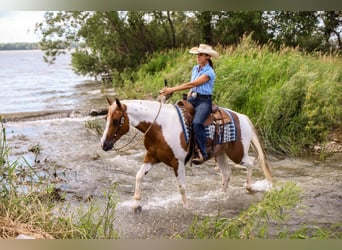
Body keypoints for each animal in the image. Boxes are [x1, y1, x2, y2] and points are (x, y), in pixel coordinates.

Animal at [100, 98, 272, 212]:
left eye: (116, 120)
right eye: (106, 118)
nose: (104, 145)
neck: (160, 127)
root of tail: (241, 117)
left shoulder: (178, 162)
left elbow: (182, 187)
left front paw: (186, 207)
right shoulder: (151, 157)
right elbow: (139, 176)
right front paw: (136, 204)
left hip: (237, 153)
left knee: (251, 162)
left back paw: (249, 187)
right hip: (220, 154)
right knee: (226, 173)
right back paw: (222, 195)